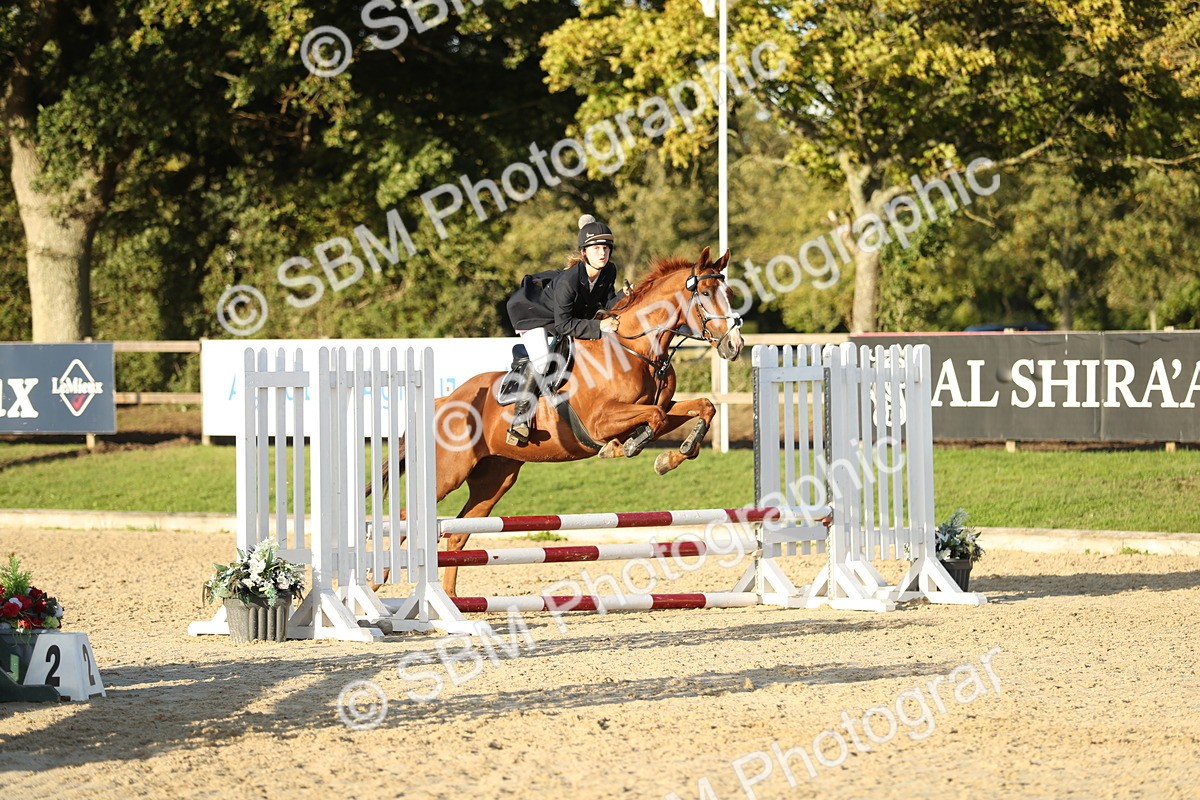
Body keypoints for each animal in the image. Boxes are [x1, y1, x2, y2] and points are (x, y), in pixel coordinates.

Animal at [379, 246, 744, 597]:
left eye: (727, 291)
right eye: (706, 293)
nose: (735, 345)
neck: (636, 349)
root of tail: (442, 402)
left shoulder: (661, 407)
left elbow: (702, 407)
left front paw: (672, 456)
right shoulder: (600, 422)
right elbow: (651, 420)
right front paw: (622, 448)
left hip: (494, 479)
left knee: (457, 533)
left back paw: (453, 598)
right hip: (447, 472)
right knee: (406, 518)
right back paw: (378, 582)